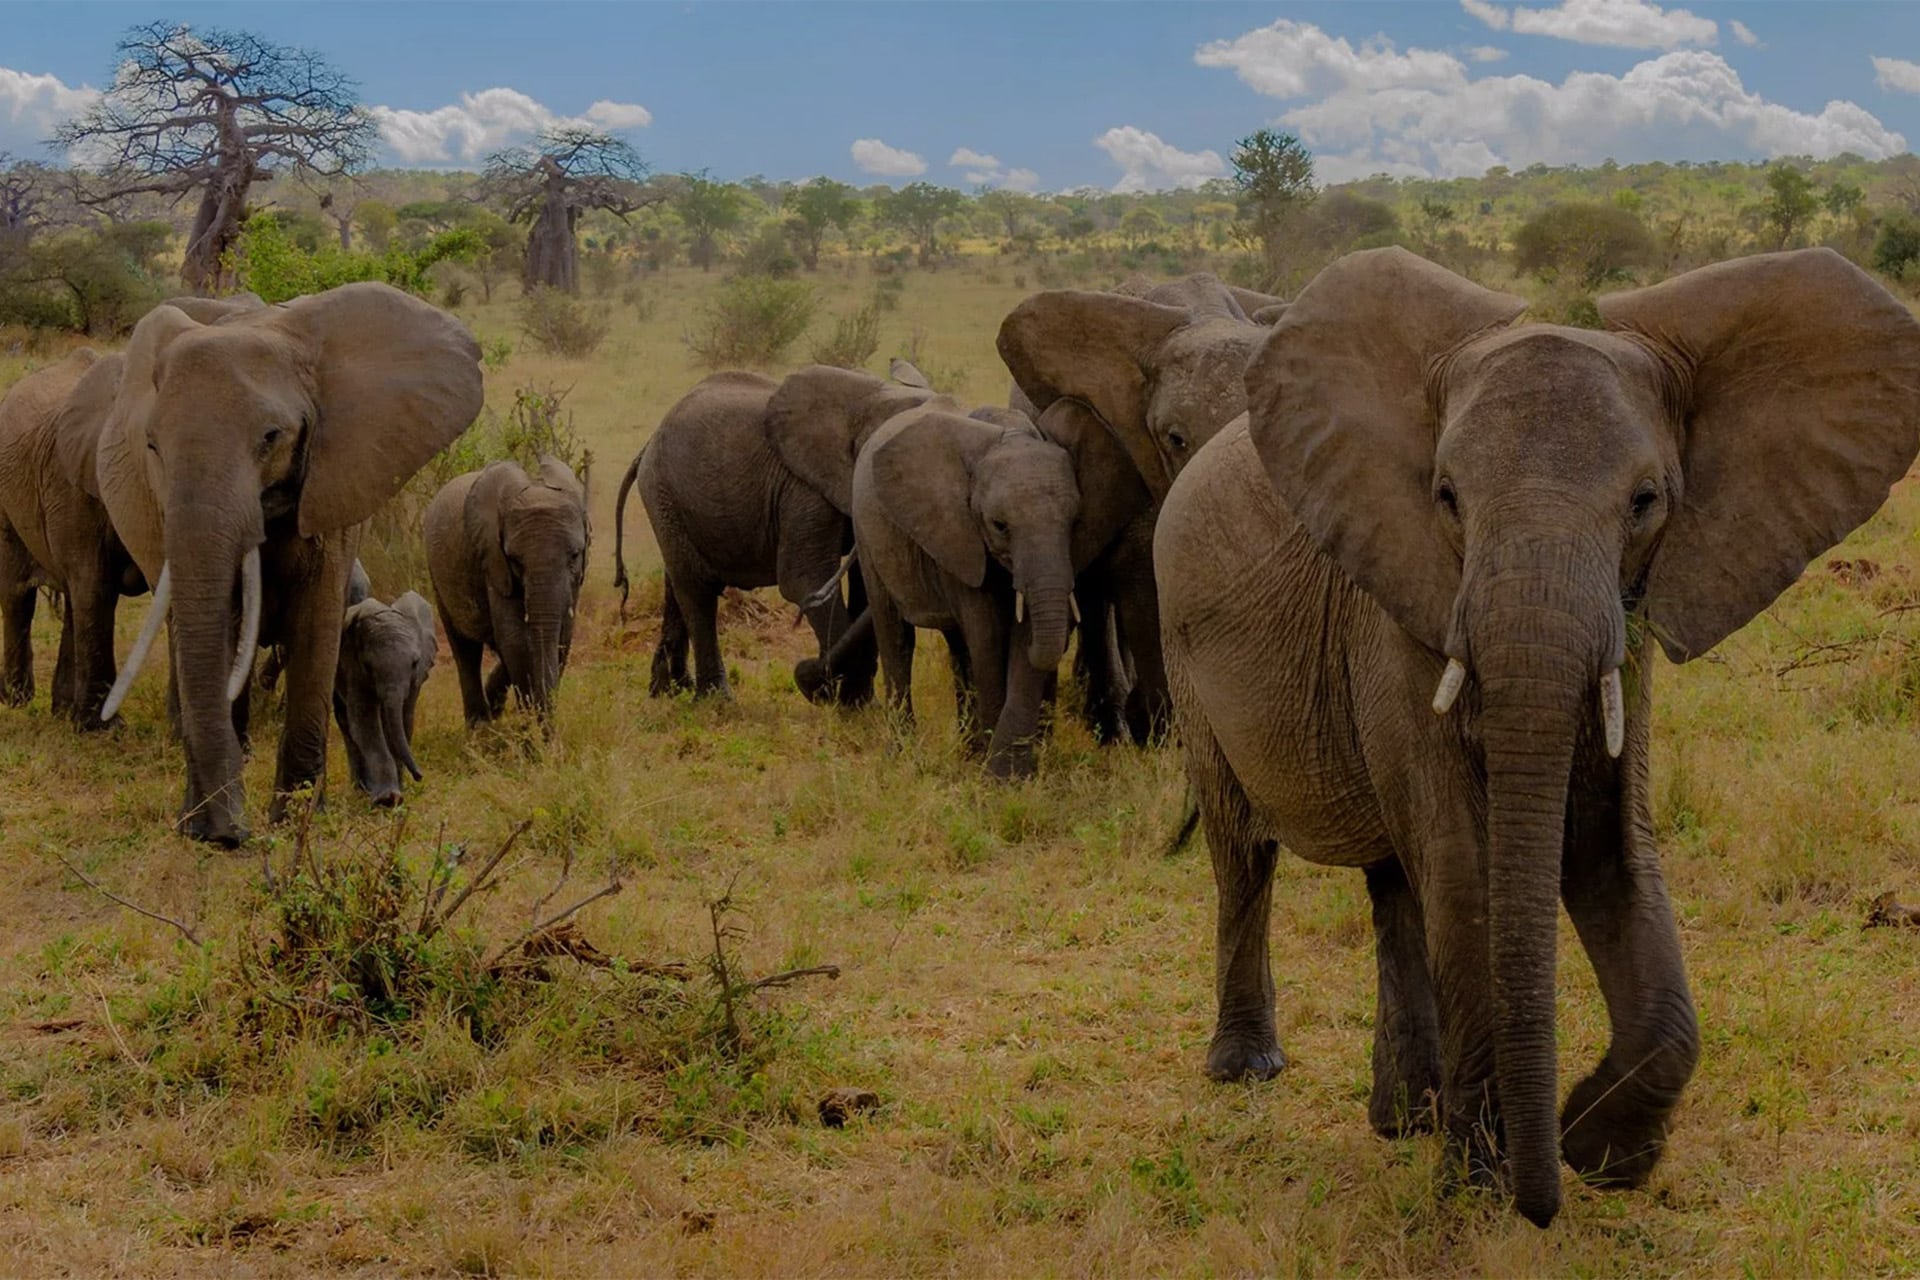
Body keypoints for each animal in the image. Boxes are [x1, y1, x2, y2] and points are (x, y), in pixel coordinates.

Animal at [333, 589, 435, 807]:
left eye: (414, 663)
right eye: (368, 666)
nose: (419, 776)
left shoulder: (415, 678)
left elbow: (405, 720)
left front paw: (399, 791)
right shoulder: (353, 667)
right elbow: (364, 723)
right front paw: (388, 799)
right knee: (345, 722)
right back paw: (361, 789)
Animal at [425, 455, 589, 726]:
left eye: (575, 556)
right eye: (514, 561)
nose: (550, 734)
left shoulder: (575, 581)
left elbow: (562, 636)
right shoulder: (493, 561)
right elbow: (516, 639)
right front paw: (530, 729)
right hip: (436, 576)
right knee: (465, 650)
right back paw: (479, 728)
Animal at [612, 363, 935, 702]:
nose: (809, 676)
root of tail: (648, 443)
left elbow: (865, 585)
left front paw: (855, 699)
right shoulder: (803, 488)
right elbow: (804, 580)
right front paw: (843, 700)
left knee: (676, 582)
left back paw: (668, 690)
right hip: (662, 491)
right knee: (697, 588)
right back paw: (717, 700)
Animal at [852, 402, 1081, 779]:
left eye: (1075, 522)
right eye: (999, 526)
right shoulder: (956, 532)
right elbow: (986, 635)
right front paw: (989, 760)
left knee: (957, 646)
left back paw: (966, 747)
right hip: (867, 534)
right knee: (896, 634)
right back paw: (903, 754)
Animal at [1154, 247, 1920, 1226]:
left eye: (1645, 502)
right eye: (1446, 497)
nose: (1543, 1201)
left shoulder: (1627, 629)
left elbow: (1607, 847)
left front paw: (1597, 1148)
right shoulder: (1401, 603)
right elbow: (1466, 866)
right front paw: (1484, 1187)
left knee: (1392, 880)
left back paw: (1406, 1120)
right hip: (1184, 649)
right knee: (1244, 848)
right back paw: (1252, 1071)